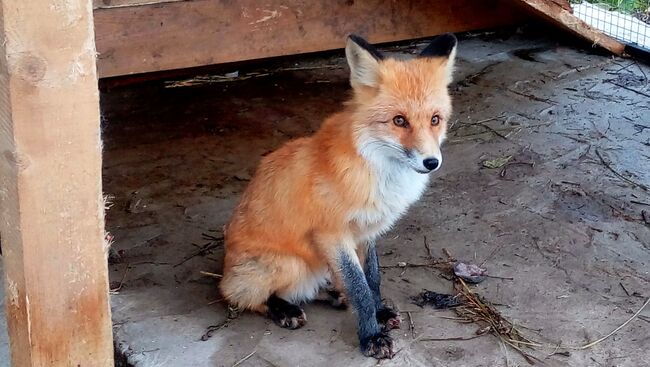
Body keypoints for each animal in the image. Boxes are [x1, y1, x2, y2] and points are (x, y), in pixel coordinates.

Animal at [220, 32, 454, 360]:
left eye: (435, 119)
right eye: (399, 121)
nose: (431, 162)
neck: (377, 171)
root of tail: (223, 269)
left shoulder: (367, 231)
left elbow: (372, 279)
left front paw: (379, 313)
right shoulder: (333, 234)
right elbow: (359, 287)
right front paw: (371, 336)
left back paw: (331, 294)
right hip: (288, 265)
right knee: (245, 296)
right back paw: (284, 309)